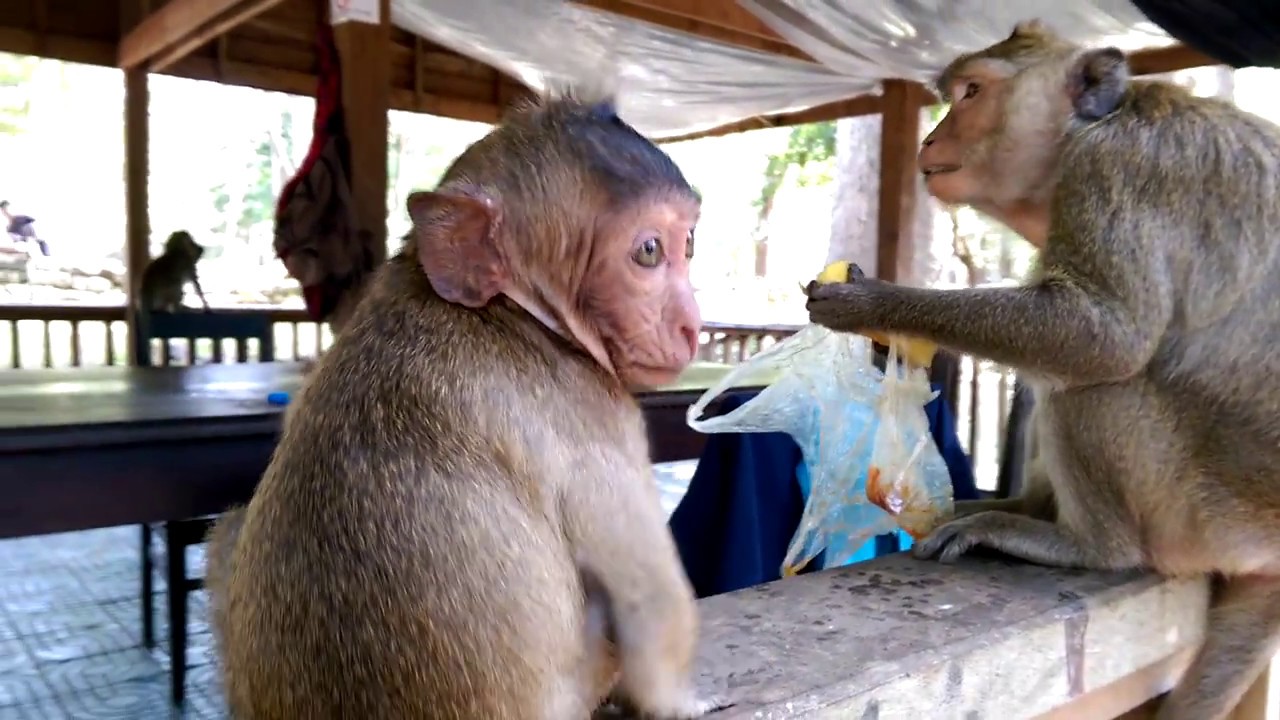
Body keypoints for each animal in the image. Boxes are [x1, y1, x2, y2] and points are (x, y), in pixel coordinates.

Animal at [204, 92, 726, 720]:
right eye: (649, 252)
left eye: (689, 245)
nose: (692, 326)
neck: (511, 309)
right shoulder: (593, 412)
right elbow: (649, 599)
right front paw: (682, 701)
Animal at [804, 20, 1280, 720]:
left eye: (972, 93)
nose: (930, 138)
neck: (1091, 129)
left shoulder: (1115, 170)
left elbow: (1101, 336)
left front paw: (873, 302)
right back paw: (1024, 507)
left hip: (1208, 518)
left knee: (1096, 386)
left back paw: (1086, 545)